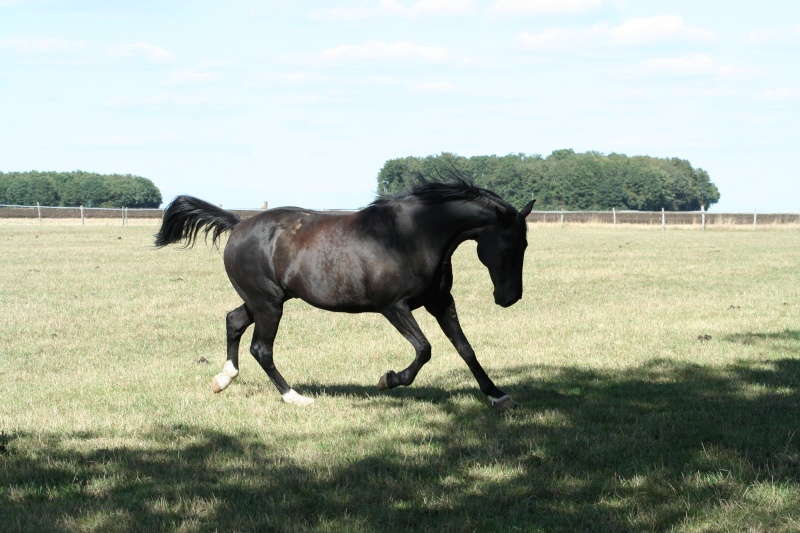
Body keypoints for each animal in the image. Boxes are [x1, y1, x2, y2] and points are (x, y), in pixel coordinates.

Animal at [154, 177, 536, 410]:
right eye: (509, 246)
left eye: (525, 245)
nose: (509, 298)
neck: (410, 235)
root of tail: (238, 224)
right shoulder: (393, 306)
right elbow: (424, 349)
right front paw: (389, 380)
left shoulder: (440, 302)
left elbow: (465, 348)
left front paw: (498, 395)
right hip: (268, 304)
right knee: (261, 349)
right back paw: (295, 398)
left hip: (265, 300)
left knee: (234, 321)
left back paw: (224, 379)